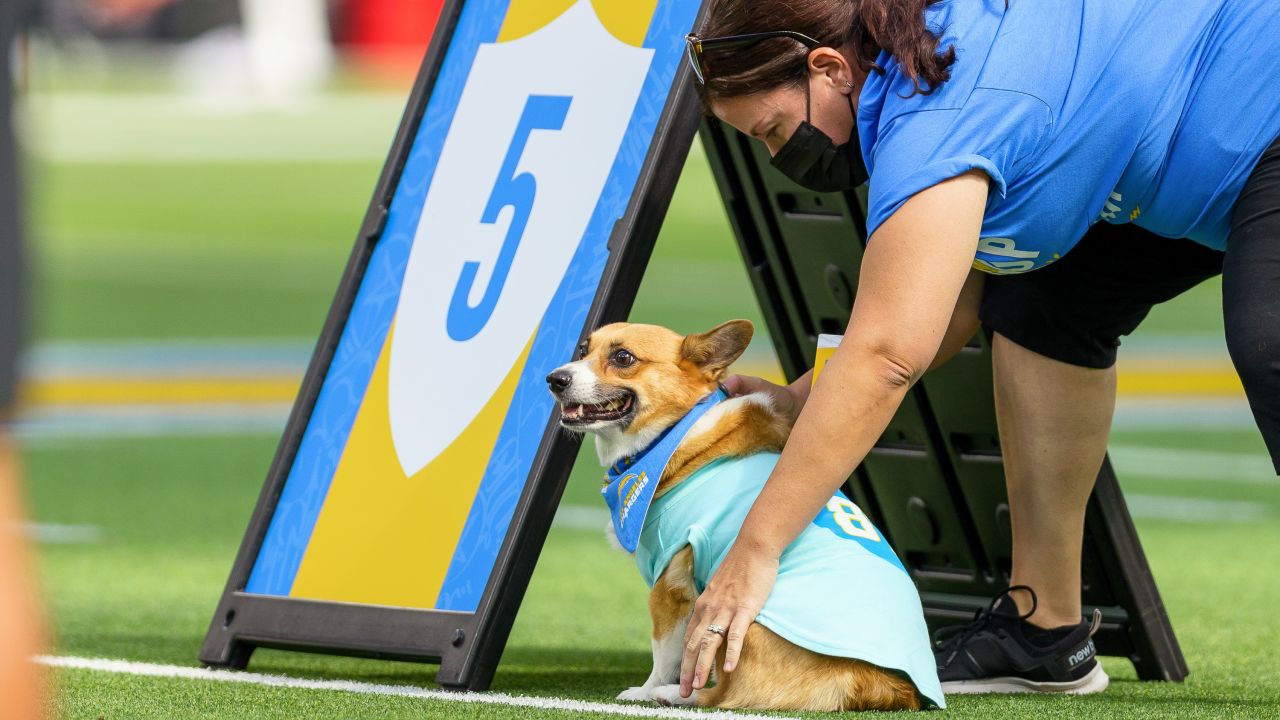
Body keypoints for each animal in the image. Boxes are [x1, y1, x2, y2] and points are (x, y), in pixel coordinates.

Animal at [545, 320, 947, 712]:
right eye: (583, 349)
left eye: (624, 357)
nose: (554, 379)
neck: (674, 433)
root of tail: (869, 683)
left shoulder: (669, 586)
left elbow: (664, 655)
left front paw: (645, 691)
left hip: (737, 627)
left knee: (721, 696)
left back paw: (672, 695)